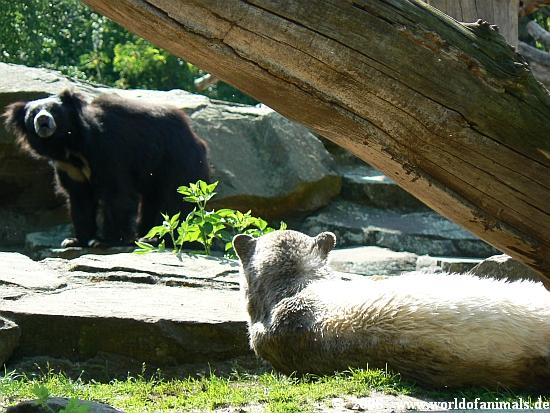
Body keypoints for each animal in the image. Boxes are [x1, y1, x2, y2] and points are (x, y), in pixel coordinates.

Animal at [3, 89, 210, 247]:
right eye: (32, 114)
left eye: (54, 110)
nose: (43, 121)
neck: (70, 146)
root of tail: (196, 138)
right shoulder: (68, 167)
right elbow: (80, 198)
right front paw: (75, 240)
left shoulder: (107, 150)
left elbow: (116, 192)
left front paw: (104, 241)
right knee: (153, 201)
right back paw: (146, 236)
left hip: (176, 160)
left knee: (176, 199)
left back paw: (164, 239)